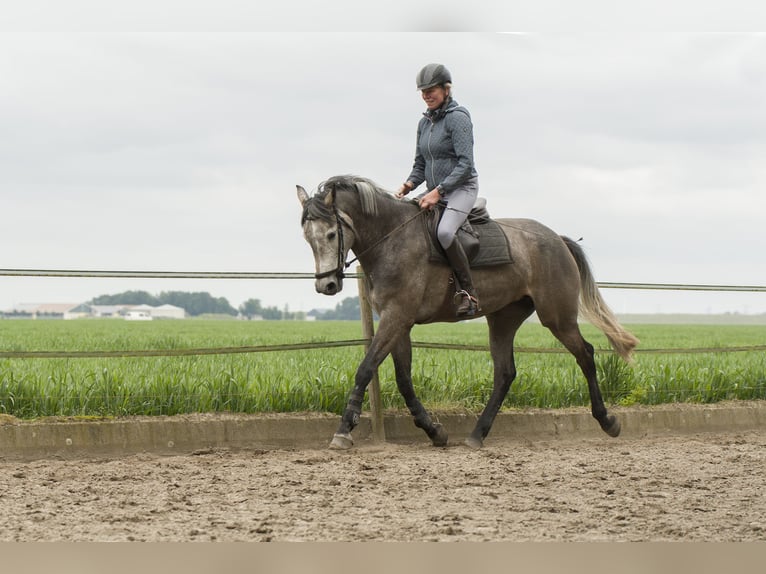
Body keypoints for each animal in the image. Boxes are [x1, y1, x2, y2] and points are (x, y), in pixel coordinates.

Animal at [296, 174, 640, 450]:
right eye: (307, 238)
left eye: (331, 234)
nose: (326, 285)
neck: (392, 239)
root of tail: (557, 239)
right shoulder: (399, 321)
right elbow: (404, 379)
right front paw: (434, 431)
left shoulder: (396, 317)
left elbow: (366, 369)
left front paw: (343, 431)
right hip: (503, 318)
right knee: (505, 372)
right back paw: (477, 434)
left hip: (557, 317)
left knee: (585, 354)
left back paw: (608, 421)